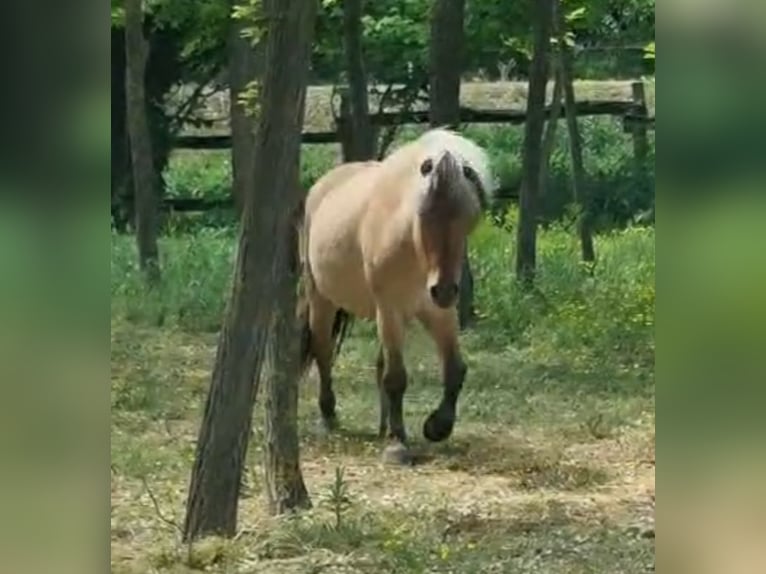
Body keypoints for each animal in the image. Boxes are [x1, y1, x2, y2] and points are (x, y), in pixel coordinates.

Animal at [296, 128, 495, 465]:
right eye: (423, 215)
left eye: (467, 218)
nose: (443, 289)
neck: (414, 253)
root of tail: (323, 185)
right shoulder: (390, 308)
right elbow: (396, 378)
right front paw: (397, 443)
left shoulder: (439, 312)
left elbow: (455, 370)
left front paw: (437, 427)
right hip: (323, 298)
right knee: (323, 351)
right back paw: (329, 417)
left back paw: (381, 425)